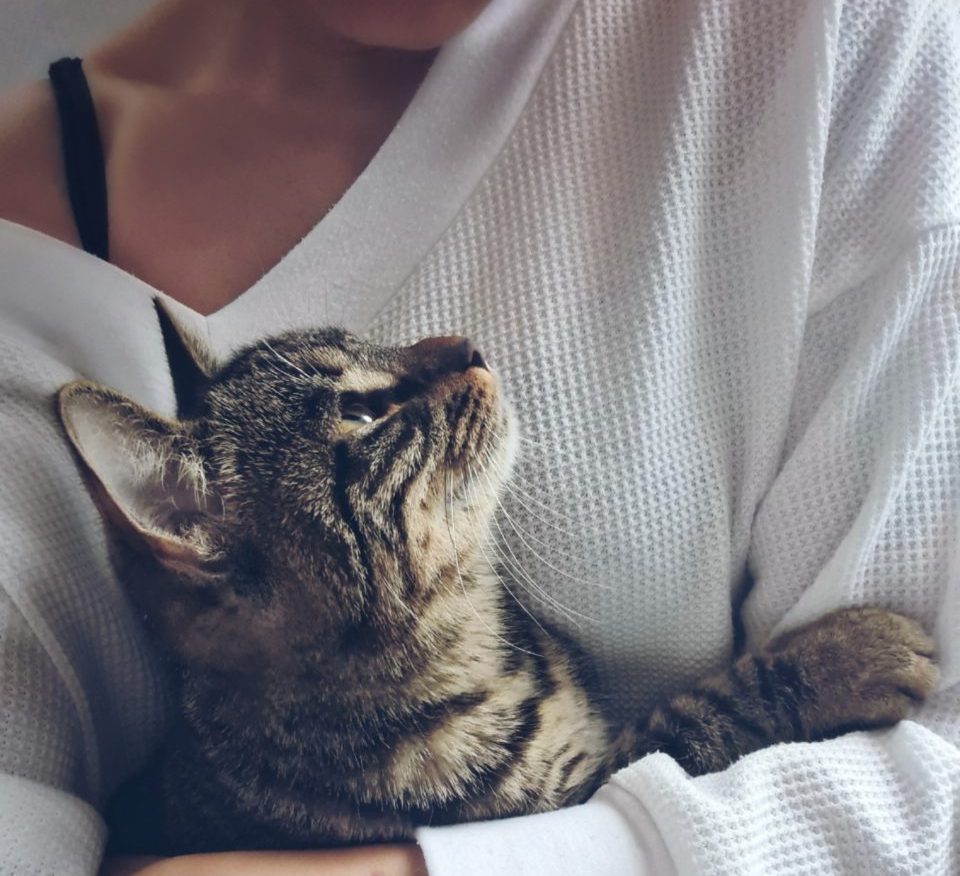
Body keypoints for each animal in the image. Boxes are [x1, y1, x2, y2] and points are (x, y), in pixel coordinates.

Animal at [54, 302, 936, 856]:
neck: (469, 634)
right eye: (363, 413)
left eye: (372, 340)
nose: (467, 345)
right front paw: (846, 655)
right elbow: (696, 719)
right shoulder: (574, 798)